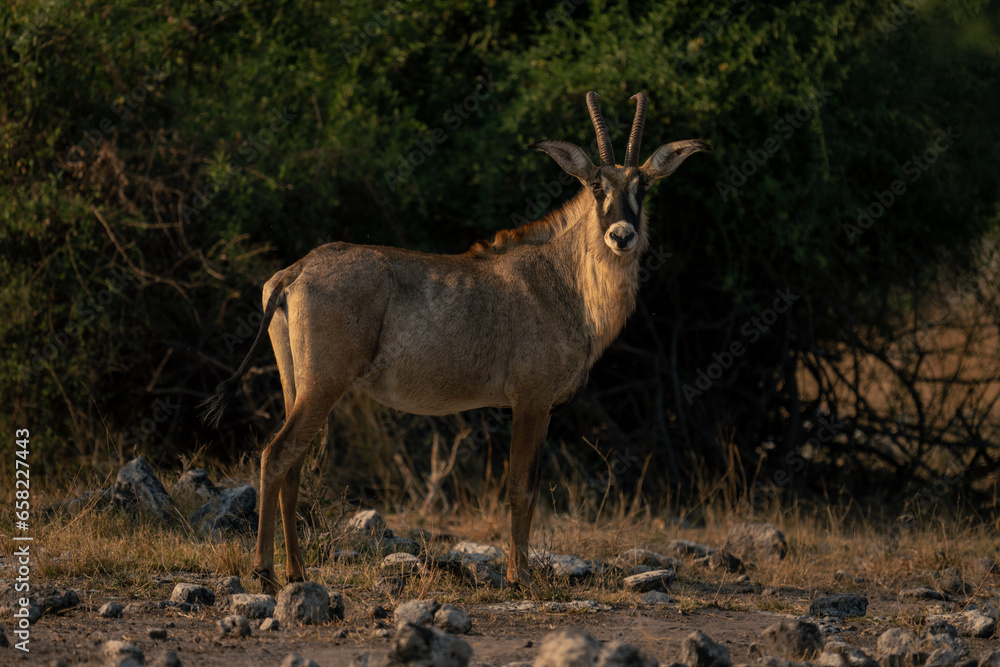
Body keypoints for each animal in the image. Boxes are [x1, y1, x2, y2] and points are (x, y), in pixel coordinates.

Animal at [201, 91, 709, 593]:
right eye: (595, 186)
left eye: (643, 187)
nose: (621, 236)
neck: (565, 280)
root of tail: (293, 273)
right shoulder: (530, 400)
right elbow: (520, 487)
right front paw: (519, 578)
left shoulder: (540, 406)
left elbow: (529, 487)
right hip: (323, 385)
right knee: (276, 455)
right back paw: (265, 573)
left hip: (297, 385)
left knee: (293, 466)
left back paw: (297, 573)